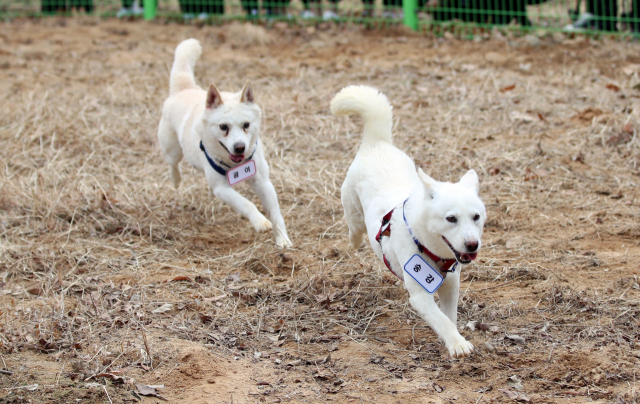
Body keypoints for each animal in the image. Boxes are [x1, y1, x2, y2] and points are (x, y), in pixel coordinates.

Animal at [158, 38, 292, 248]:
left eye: (246, 125)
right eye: (223, 127)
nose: (239, 147)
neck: (235, 164)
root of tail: (185, 88)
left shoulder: (263, 182)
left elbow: (276, 213)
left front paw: (282, 240)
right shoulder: (223, 188)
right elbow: (246, 203)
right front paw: (260, 222)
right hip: (171, 149)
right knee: (173, 163)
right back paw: (175, 179)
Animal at [332, 85, 488, 356]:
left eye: (476, 217)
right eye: (451, 218)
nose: (472, 245)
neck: (430, 248)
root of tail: (377, 143)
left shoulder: (451, 286)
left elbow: (449, 318)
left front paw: (454, 339)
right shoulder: (420, 295)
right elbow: (442, 321)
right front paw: (457, 344)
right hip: (353, 210)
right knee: (354, 228)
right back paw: (354, 241)